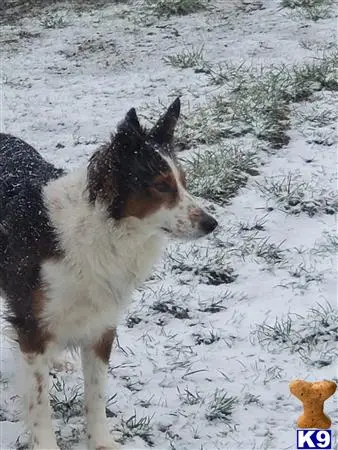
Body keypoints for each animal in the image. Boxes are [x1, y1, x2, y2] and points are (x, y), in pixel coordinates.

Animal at [0, 99, 217, 450]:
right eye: (161, 186)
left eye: (183, 181)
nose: (212, 224)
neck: (103, 230)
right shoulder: (32, 321)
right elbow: (40, 403)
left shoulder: (101, 324)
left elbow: (95, 395)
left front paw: (101, 441)